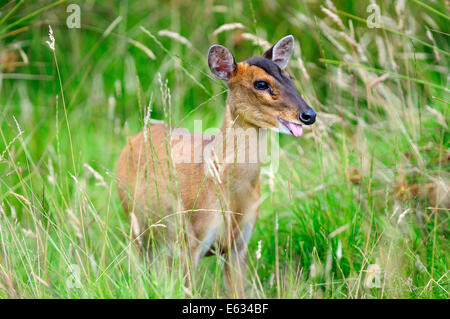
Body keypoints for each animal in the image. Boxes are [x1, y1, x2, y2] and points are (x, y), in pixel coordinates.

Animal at [114, 35, 314, 298]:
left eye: (289, 77)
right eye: (261, 84)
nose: (309, 114)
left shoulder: (239, 245)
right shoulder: (192, 241)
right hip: (136, 225)